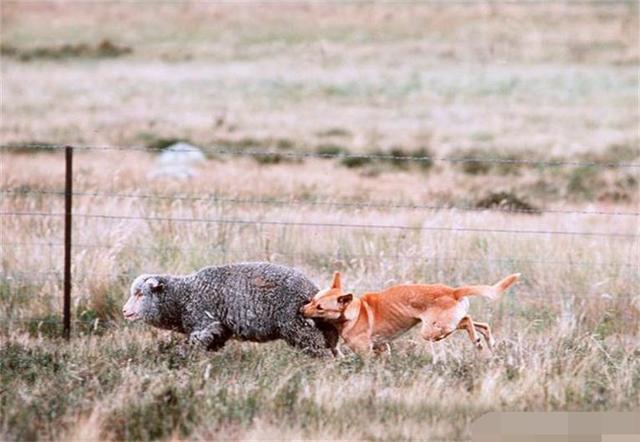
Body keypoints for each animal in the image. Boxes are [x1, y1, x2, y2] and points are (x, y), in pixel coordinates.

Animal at [121, 260, 340, 358]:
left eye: (140, 294)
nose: (124, 311)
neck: (182, 297)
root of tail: (312, 290)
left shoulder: (202, 324)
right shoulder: (219, 329)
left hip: (300, 327)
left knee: (319, 349)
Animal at [302, 272, 520, 354]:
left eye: (320, 307)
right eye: (312, 300)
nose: (300, 310)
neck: (354, 312)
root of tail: (452, 291)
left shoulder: (365, 352)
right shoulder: (382, 349)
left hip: (432, 330)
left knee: (467, 320)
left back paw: (477, 341)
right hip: (443, 326)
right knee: (482, 324)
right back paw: (487, 340)